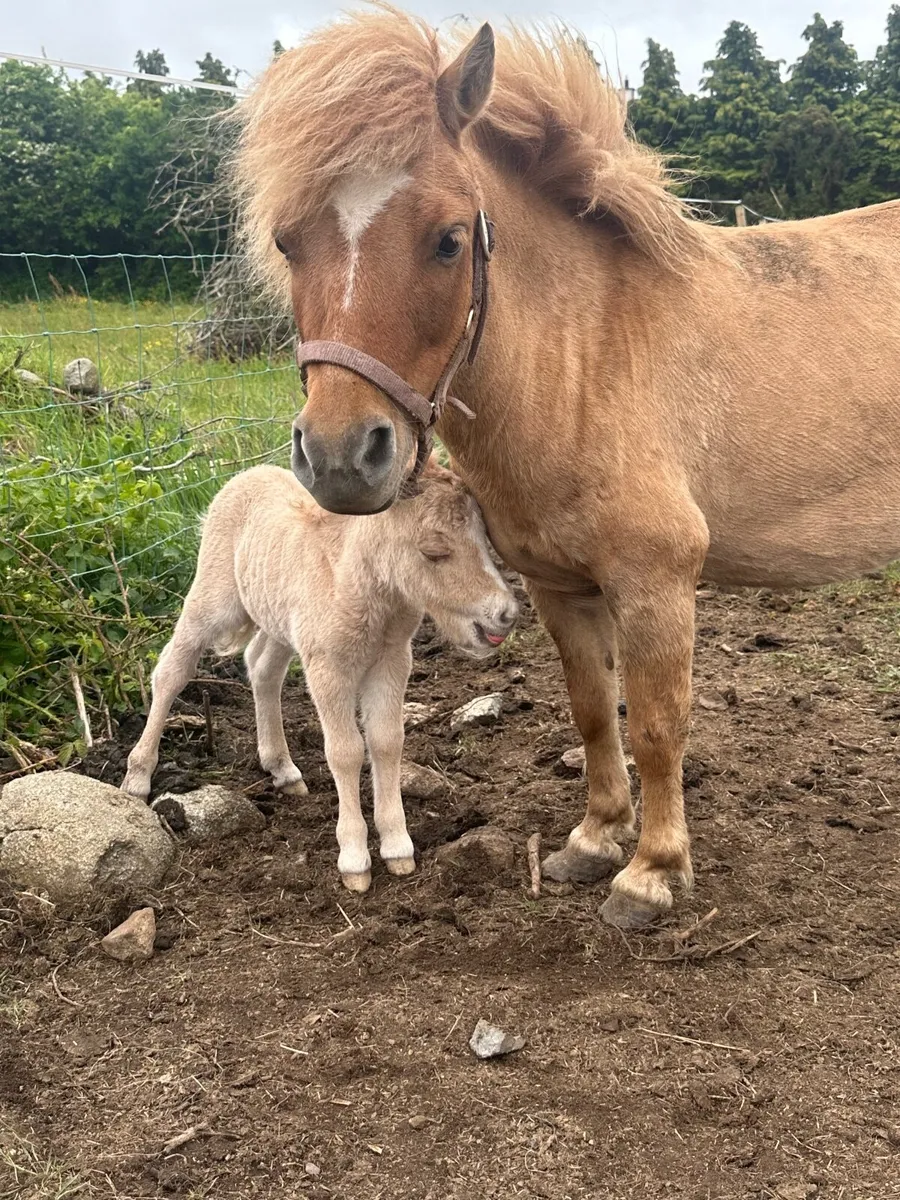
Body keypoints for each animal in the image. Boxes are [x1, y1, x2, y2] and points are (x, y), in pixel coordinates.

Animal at [231, 7, 900, 929]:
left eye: (449, 241)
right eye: (287, 242)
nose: (339, 457)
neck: (586, 356)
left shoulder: (657, 583)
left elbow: (656, 724)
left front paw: (651, 873)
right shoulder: (558, 587)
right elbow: (592, 714)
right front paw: (594, 841)